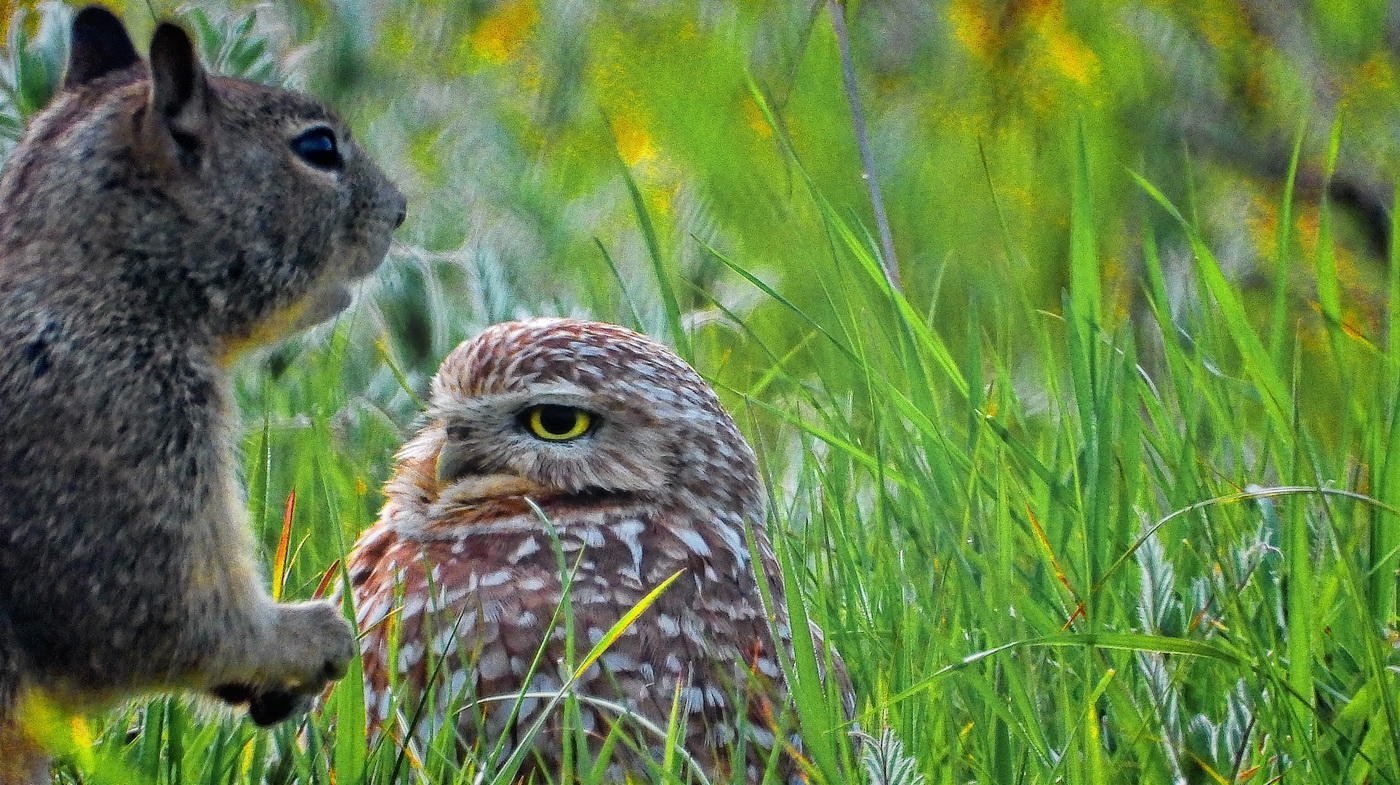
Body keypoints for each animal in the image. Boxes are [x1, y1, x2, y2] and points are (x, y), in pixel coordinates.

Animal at [0, 6, 406, 780]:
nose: (399, 211)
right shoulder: (124, 436)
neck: (99, 284)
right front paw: (313, 635)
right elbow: (169, 623)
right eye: (317, 147)